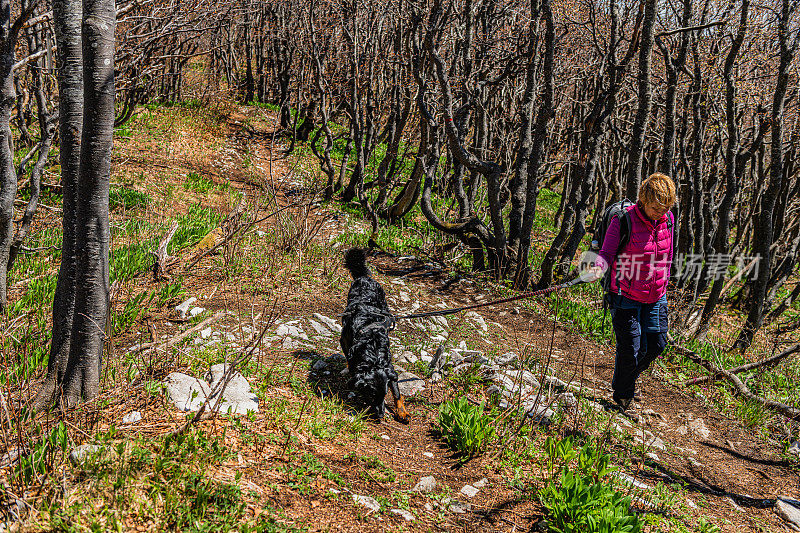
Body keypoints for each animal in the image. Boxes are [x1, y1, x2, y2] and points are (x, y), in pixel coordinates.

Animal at [340, 247, 410, 422]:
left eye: (384, 395)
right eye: (371, 395)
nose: (380, 415)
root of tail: (364, 278)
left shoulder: (389, 368)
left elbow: (397, 392)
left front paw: (402, 411)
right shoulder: (345, 342)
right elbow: (350, 364)